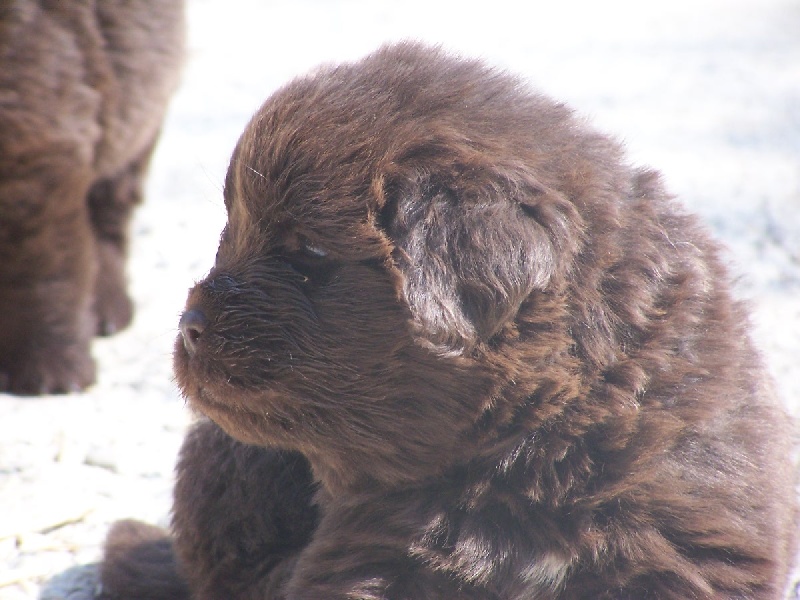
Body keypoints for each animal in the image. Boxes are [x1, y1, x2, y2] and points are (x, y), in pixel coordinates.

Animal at [0, 0, 184, 396]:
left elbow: (40, 267)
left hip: (131, 134)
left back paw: (107, 314)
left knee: (107, 226)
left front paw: (49, 373)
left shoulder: (38, 145)